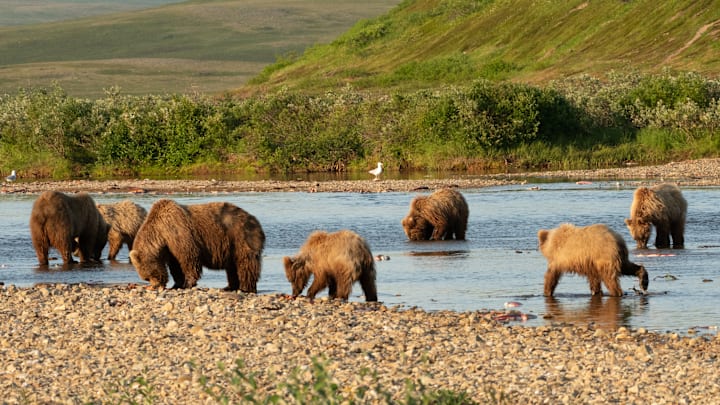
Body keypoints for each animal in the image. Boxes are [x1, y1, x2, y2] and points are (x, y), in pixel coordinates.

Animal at [128, 199, 265, 292]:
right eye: (146, 278)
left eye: (149, 275)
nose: (155, 286)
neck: (161, 234)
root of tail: (255, 220)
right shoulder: (170, 248)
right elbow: (175, 265)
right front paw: (177, 284)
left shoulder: (178, 233)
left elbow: (189, 259)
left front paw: (187, 283)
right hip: (231, 247)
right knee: (231, 267)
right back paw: (229, 286)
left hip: (240, 237)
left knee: (245, 264)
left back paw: (246, 287)